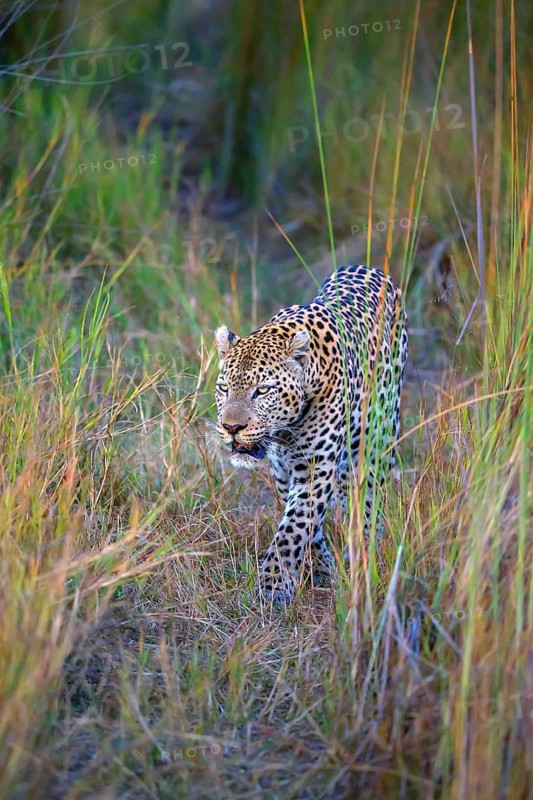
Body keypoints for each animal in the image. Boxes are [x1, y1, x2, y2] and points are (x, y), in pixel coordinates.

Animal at [214, 264, 408, 604]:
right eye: (224, 388)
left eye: (262, 390)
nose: (231, 427)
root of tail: (368, 267)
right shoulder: (283, 470)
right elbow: (306, 525)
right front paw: (319, 568)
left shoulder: (315, 468)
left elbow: (293, 528)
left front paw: (272, 587)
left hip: (379, 435)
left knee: (370, 494)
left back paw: (365, 547)